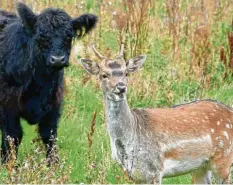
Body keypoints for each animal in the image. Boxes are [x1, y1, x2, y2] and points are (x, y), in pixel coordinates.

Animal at [0, 2, 97, 164]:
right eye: (41, 36)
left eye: (69, 36)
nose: (57, 59)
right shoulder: (8, 106)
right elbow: (13, 136)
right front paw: (8, 165)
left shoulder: (54, 104)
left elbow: (50, 136)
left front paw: (54, 166)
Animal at [78, 43, 233, 184]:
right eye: (103, 75)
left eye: (126, 73)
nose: (121, 88)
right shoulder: (134, 174)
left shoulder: (154, 169)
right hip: (201, 167)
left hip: (223, 158)